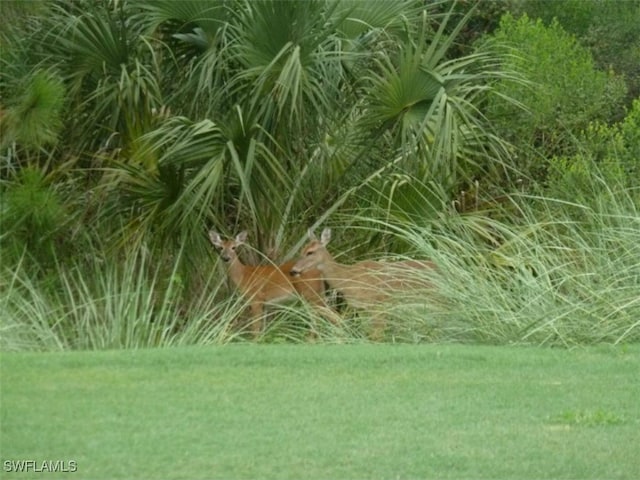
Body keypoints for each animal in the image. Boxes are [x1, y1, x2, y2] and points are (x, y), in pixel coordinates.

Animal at [210, 230, 340, 338]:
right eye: (220, 248)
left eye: (234, 247)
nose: (226, 258)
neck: (244, 275)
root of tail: (319, 270)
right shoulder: (265, 305)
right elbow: (262, 329)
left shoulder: (256, 299)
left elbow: (255, 329)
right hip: (317, 293)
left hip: (311, 294)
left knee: (333, 316)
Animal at [288, 228, 436, 338]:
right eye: (301, 251)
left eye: (310, 252)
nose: (293, 271)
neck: (349, 278)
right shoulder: (361, 308)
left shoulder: (378, 305)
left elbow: (377, 337)